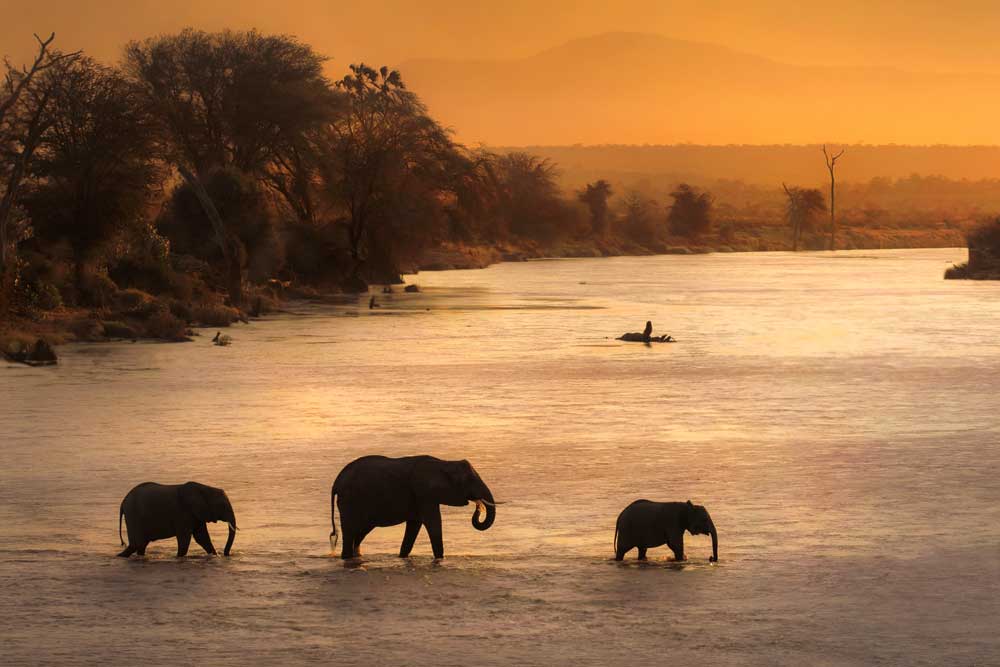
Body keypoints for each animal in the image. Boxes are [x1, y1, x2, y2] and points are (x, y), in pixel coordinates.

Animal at [330, 456, 498, 560]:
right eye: (469, 480)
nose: (477, 507)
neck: (444, 463)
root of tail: (336, 482)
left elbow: (414, 526)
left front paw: (402, 557)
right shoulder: (424, 493)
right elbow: (433, 523)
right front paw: (440, 558)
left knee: (361, 531)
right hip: (350, 500)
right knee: (351, 530)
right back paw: (346, 557)